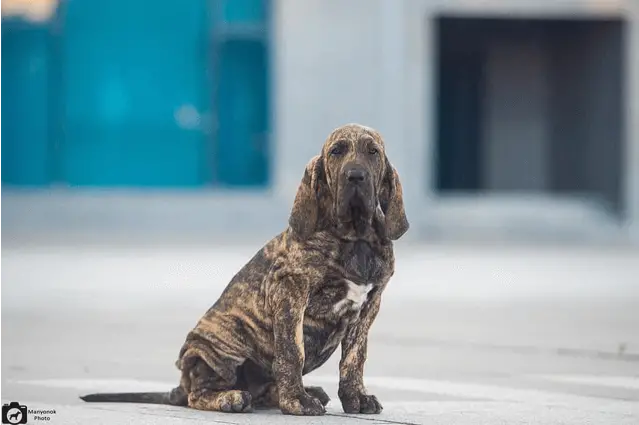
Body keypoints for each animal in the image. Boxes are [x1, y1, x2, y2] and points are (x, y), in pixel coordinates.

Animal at [80, 122, 410, 414]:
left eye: (372, 152)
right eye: (337, 151)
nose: (355, 176)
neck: (355, 239)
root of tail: (180, 386)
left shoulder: (369, 306)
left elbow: (354, 358)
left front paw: (356, 398)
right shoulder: (290, 292)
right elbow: (292, 351)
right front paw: (296, 402)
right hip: (216, 349)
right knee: (199, 394)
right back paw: (233, 397)